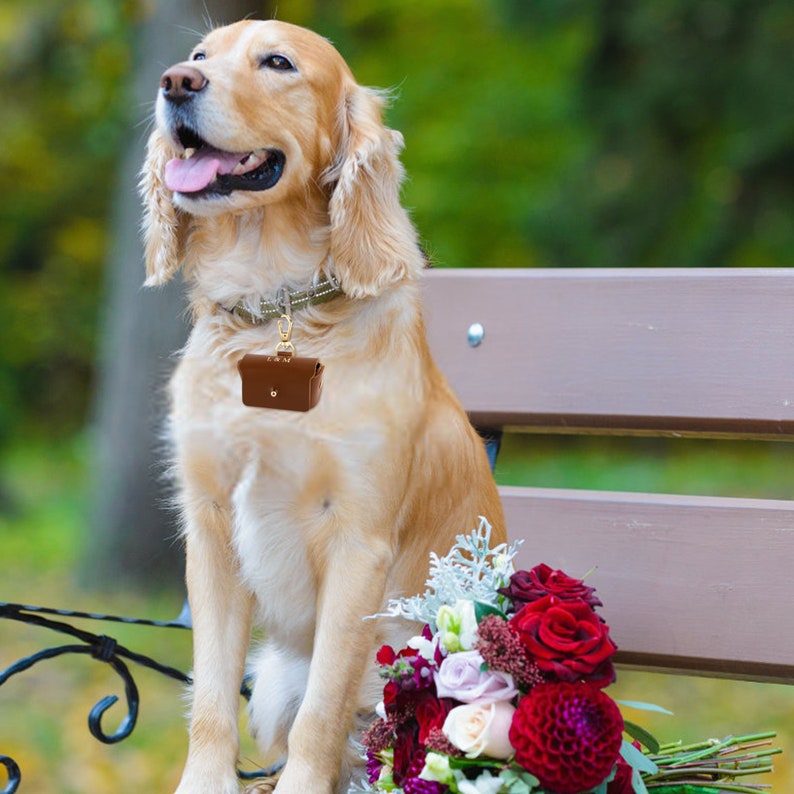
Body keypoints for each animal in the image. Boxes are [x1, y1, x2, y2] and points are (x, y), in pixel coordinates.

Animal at [140, 17, 504, 792]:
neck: (274, 314)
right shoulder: (210, 529)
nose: (176, 83)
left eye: (278, 63)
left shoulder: (358, 542)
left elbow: (323, 712)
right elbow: (210, 699)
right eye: (199, 56)